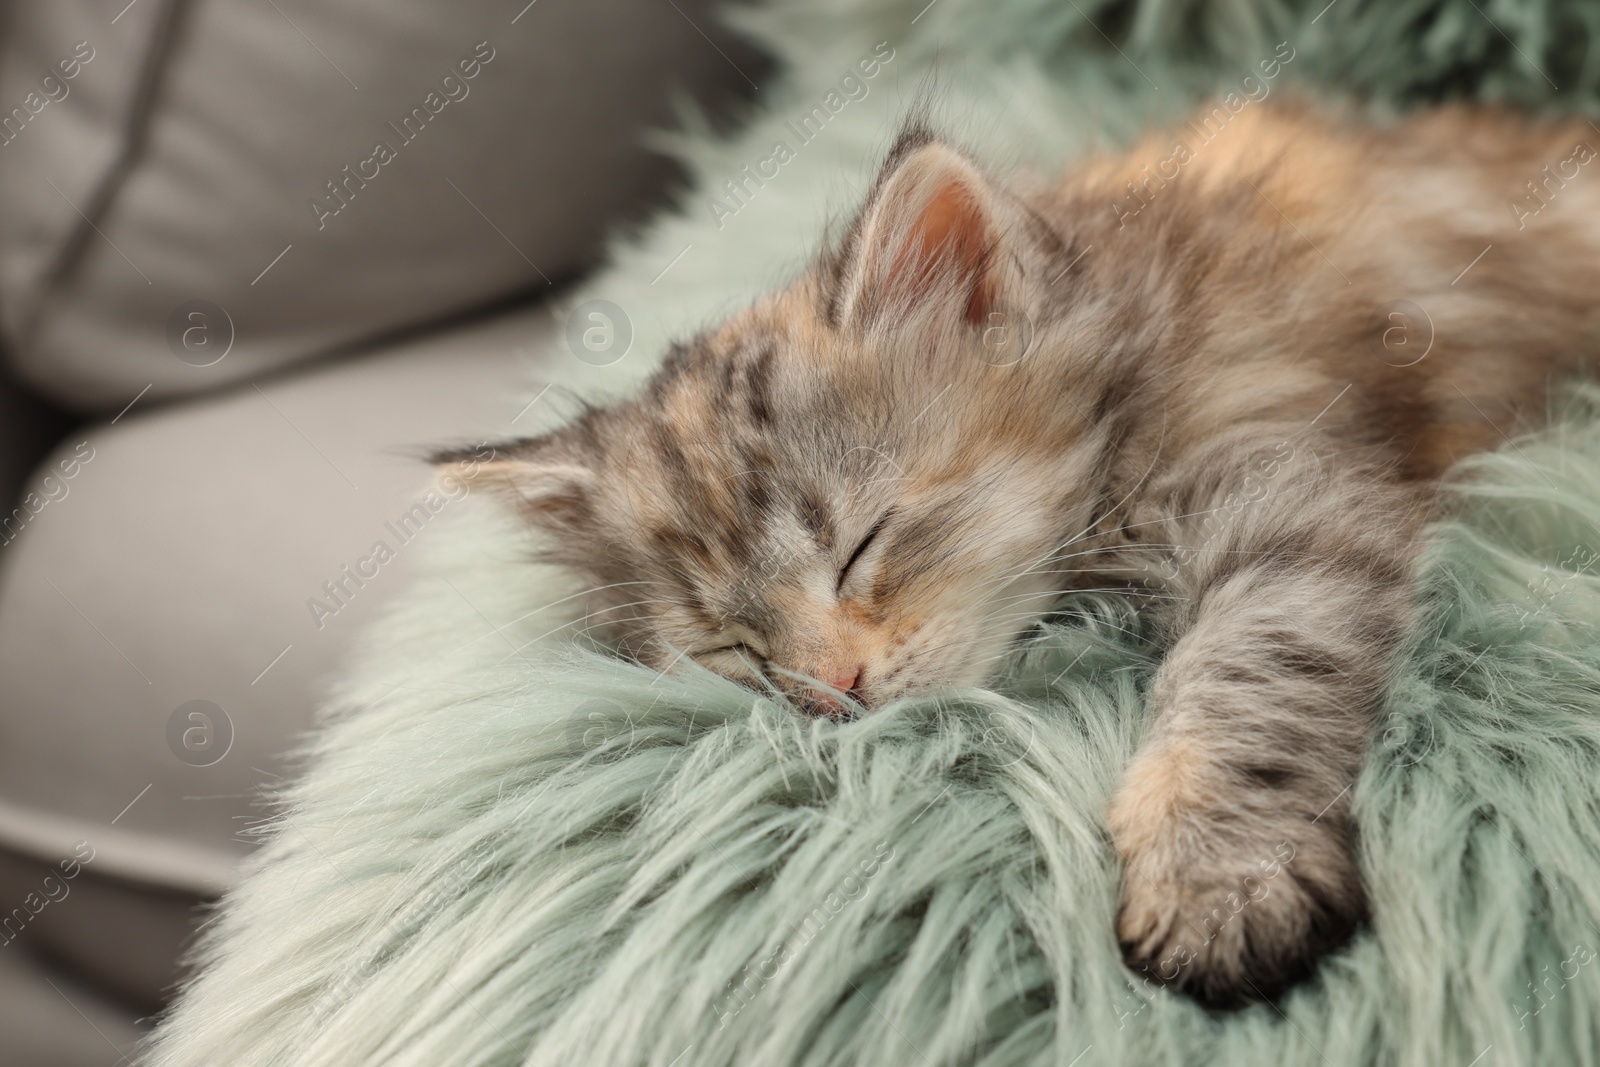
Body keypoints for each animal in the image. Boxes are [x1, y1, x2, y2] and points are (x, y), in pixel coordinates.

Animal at [435, 99, 1600, 1011]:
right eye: (730, 646)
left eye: (863, 545)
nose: (835, 690)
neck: (1127, 328)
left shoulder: (1295, 490)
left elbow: (1250, 671)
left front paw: (1213, 873)